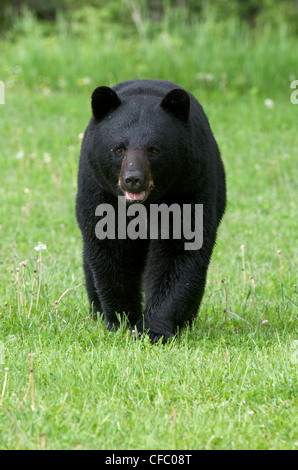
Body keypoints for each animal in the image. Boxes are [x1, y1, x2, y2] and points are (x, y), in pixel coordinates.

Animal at [75, 79, 226, 344]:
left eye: (154, 149)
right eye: (118, 149)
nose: (133, 179)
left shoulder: (188, 186)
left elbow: (179, 252)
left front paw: (155, 329)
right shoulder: (99, 192)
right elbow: (111, 251)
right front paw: (122, 321)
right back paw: (97, 312)